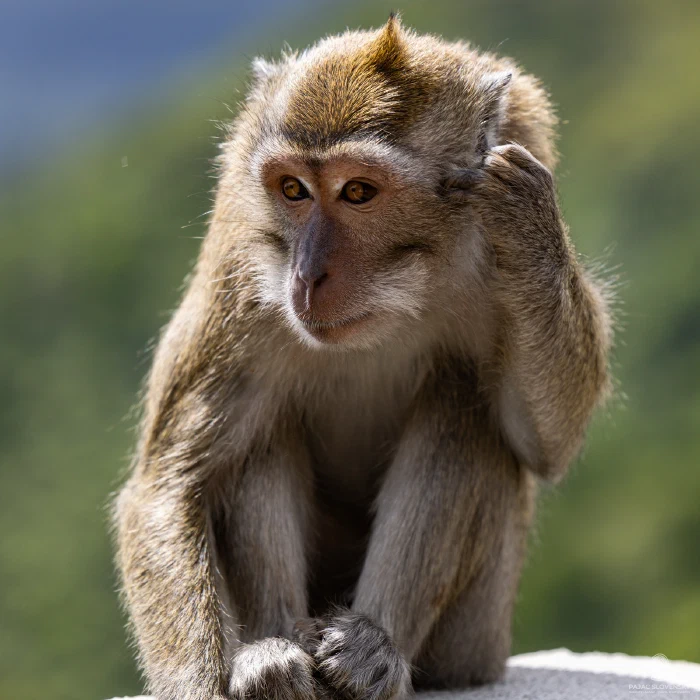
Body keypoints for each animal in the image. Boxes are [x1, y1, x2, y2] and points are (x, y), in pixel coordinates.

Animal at [114, 15, 613, 700]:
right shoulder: (240, 268)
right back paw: (275, 656)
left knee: (461, 402)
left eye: (357, 191)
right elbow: (166, 484)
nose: (307, 275)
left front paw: (530, 217)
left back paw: (370, 652)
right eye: (292, 189)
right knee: (254, 434)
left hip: (476, 641)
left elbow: (547, 442)